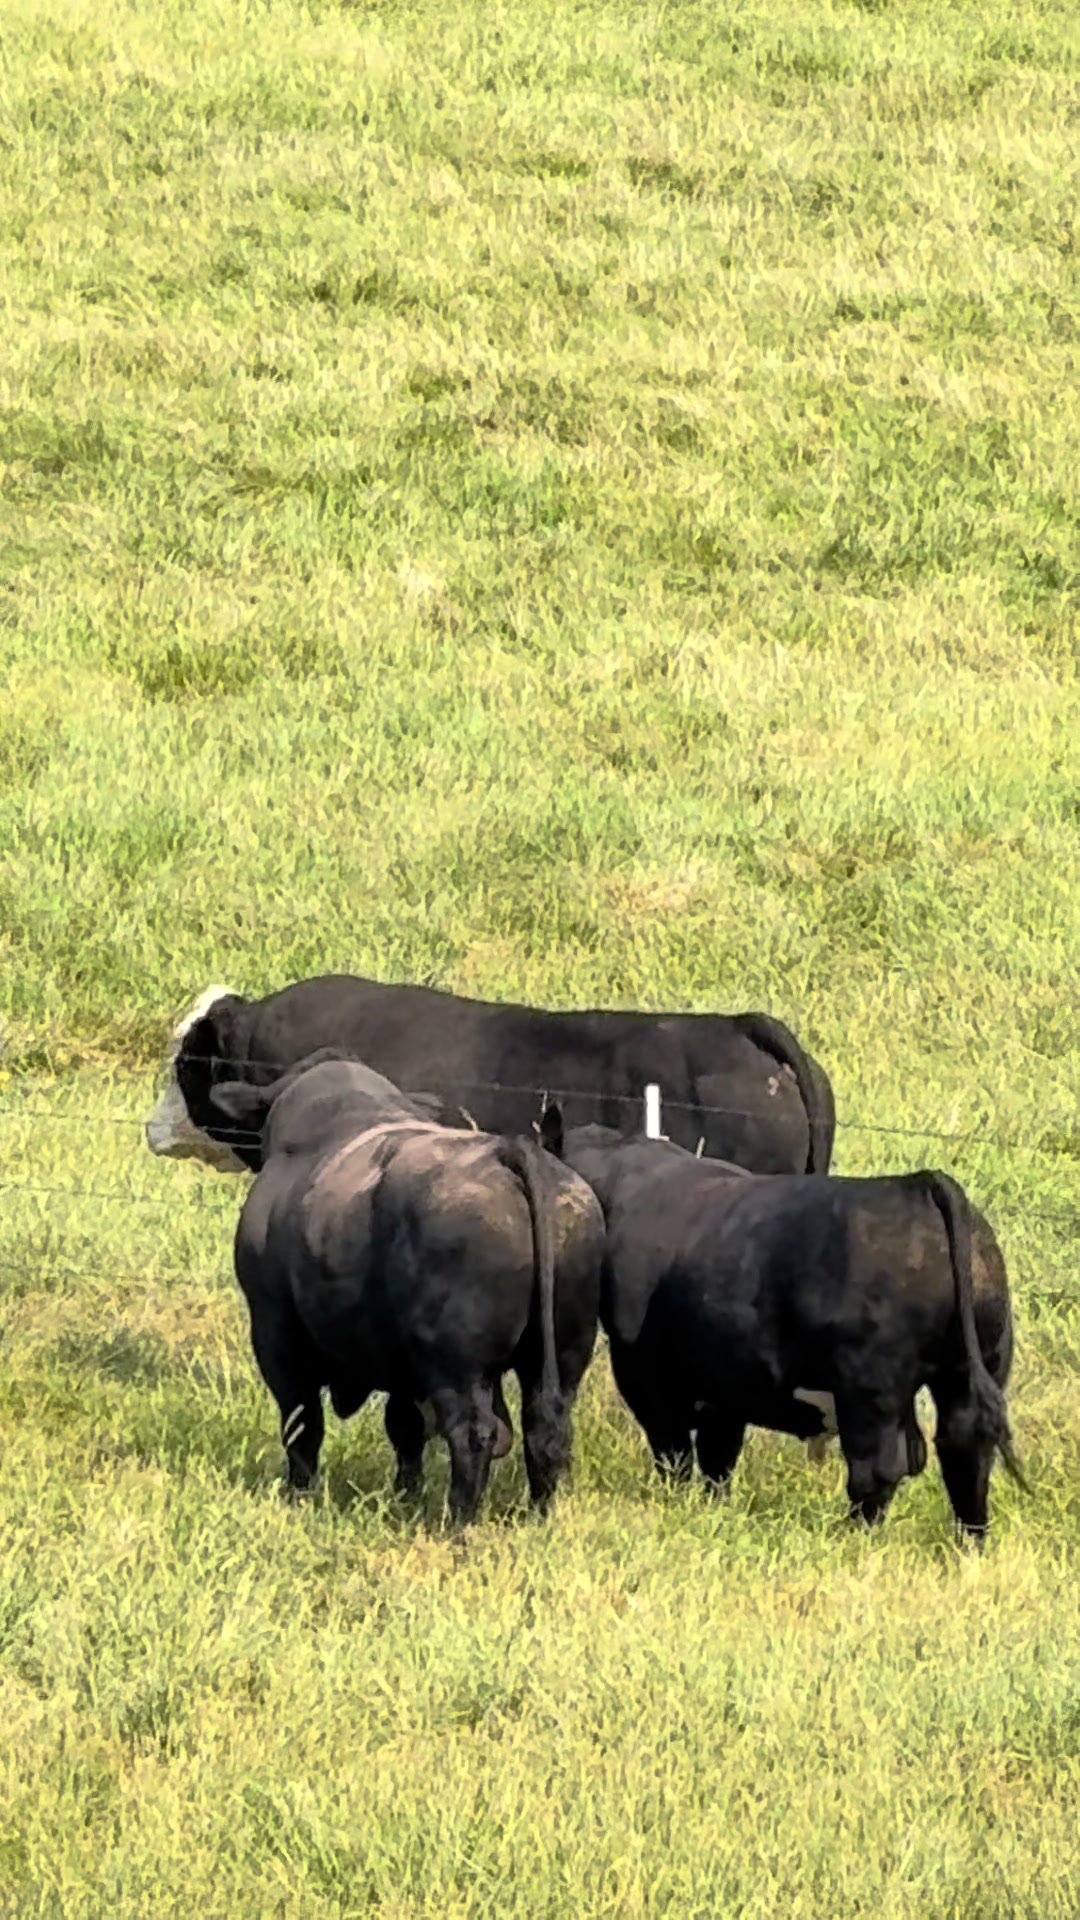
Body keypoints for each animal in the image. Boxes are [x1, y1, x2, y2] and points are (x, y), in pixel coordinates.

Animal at [203, 1051, 605, 1524]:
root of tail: (507, 1148)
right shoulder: (400, 1361)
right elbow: (404, 1427)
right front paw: (405, 1496)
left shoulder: (277, 1334)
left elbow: (302, 1423)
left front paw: (298, 1494)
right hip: (562, 1349)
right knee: (545, 1427)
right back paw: (537, 1517)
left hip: (457, 1363)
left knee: (475, 1432)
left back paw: (457, 1523)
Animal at [538, 1112, 1023, 1540]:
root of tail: (919, 1185)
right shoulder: (726, 1382)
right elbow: (718, 1456)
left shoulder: (644, 1374)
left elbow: (675, 1453)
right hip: (973, 1366)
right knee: (964, 1449)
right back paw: (969, 1543)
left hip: (871, 1389)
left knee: (881, 1465)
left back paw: (851, 1537)